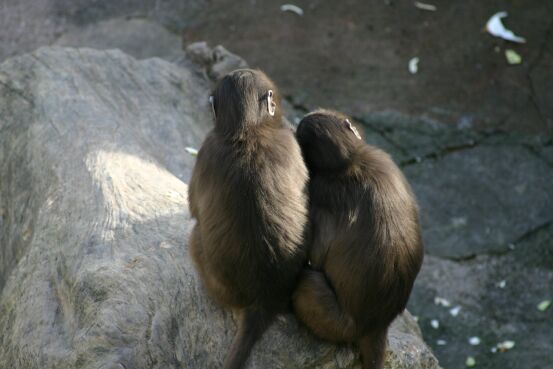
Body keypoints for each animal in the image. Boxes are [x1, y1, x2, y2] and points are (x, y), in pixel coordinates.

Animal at [188, 69, 308, 368]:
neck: (248, 131)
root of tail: (264, 300)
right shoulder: (291, 142)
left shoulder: (207, 149)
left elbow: (194, 207)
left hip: (216, 281)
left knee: (194, 237)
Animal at [292, 109, 420, 368]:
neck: (351, 161)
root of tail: (376, 326)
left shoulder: (319, 190)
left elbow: (316, 255)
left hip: (338, 323)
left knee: (306, 283)